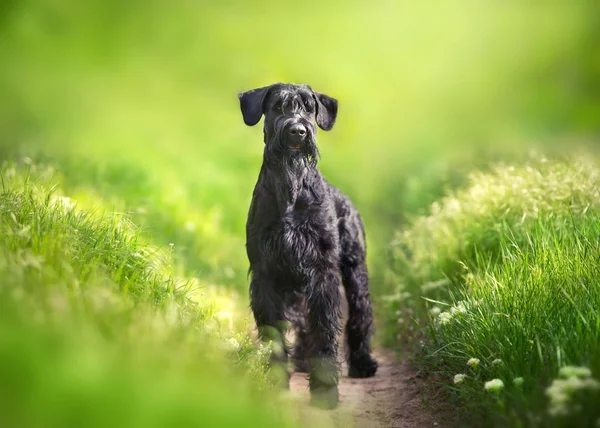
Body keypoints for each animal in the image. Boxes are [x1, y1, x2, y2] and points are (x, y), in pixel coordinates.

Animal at [238, 81, 376, 408]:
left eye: (309, 107)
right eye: (278, 106)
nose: (297, 131)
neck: (291, 188)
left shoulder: (322, 272)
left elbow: (325, 329)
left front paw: (325, 390)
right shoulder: (265, 274)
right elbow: (273, 332)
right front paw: (274, 382)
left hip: (355, 272)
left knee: (360, 314)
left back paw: (362, 363)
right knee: (302, 319)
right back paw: (301, 359)